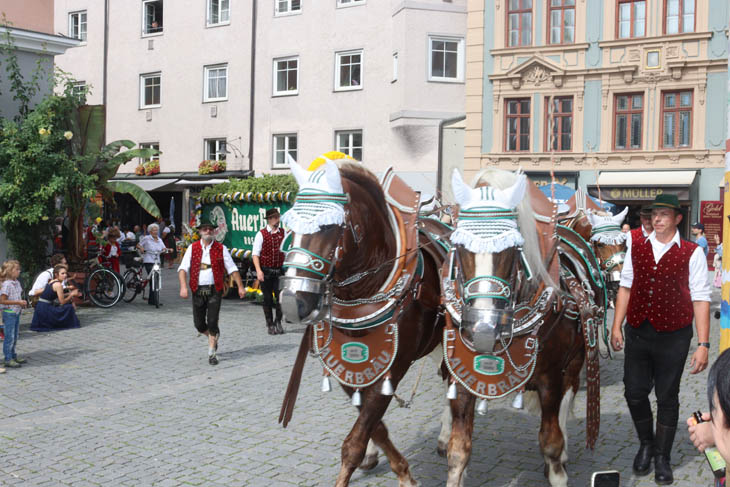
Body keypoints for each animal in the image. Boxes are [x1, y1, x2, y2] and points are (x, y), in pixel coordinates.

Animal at [278, 158, 444, 486]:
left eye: (328, 225)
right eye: (288, 225)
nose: (292, 299)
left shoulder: (394, 366)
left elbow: (354, 441)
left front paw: (400, 474)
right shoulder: (348, 367)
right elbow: (373, 425)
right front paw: (390, 462)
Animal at [438, 169, 604, 487]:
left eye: (512, 248)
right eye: (459, 245)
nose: (483, 327)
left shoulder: (550, 377)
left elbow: (551, 442)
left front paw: (557, 467)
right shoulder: (461, 376)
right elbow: (458, 450)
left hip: (576, 360)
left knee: (567, 399)